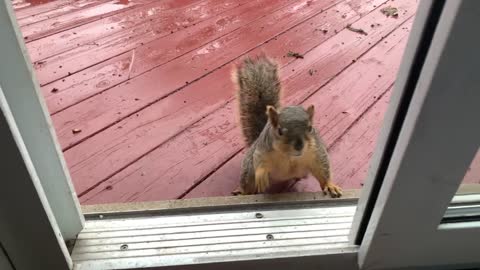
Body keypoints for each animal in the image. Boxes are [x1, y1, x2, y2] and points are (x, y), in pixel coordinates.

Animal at [232, 55, 342, 198]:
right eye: (279, 131)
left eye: (310, 128)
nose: (299, 146)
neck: (290, 156)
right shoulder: (262, 149)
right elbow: (259, 161)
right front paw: (261, 175)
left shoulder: (316, 151)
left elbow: (323, 169)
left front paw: (330, 186)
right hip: (248, 170)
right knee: (247, 184)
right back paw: (242, 192)